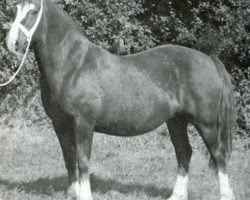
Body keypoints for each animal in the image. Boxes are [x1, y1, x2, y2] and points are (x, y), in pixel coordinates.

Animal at [6, 0, 236, 200]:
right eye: (14, 10)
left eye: (33, 11)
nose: (12, 43)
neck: (72, 65)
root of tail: (209, 60)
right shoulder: (60, 125)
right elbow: (69, 159)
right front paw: (72, 193)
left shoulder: (83, 124)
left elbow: (82, 160)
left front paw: (85, 195)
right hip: (177, 121)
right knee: (184, 153)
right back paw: (176, 196)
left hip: (206, 124)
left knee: (218, 154)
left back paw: (226, 195)